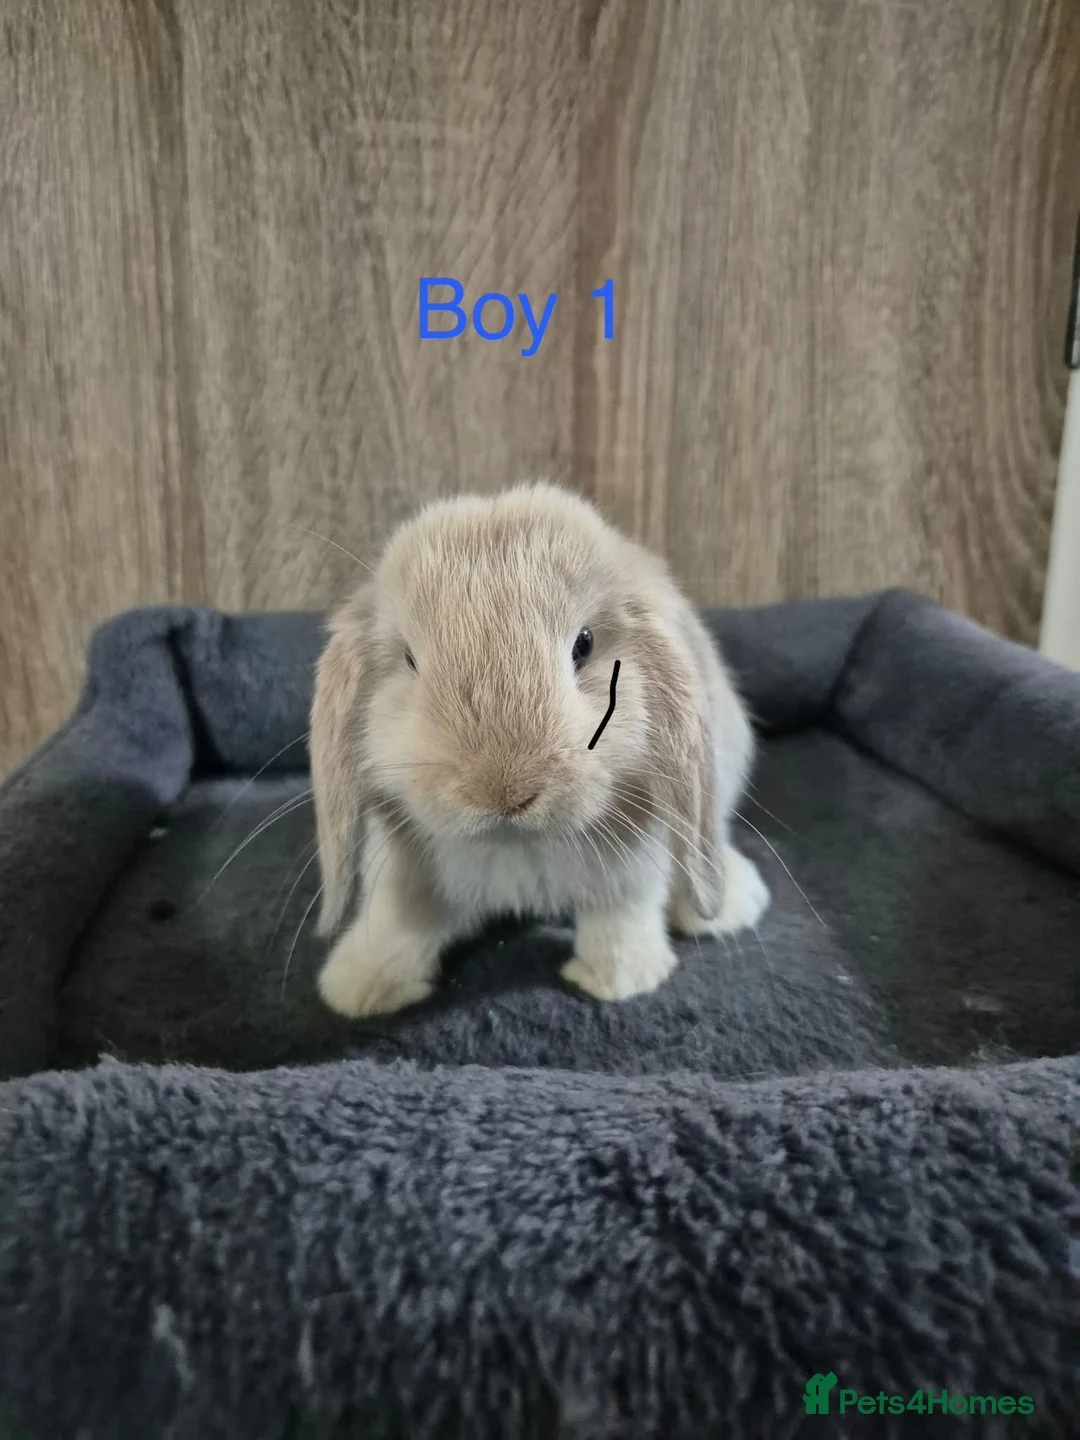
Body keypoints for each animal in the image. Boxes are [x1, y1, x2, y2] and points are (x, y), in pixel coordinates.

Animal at [310, 481, 770, 1018]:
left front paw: (619, 980)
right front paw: (359, 987)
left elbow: (620, 915)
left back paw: (730, 903)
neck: (518, 844)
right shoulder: (403, 866)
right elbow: (398, 917)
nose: (502, 793)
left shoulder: (631, 862)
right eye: (408, 659)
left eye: (584, 644)